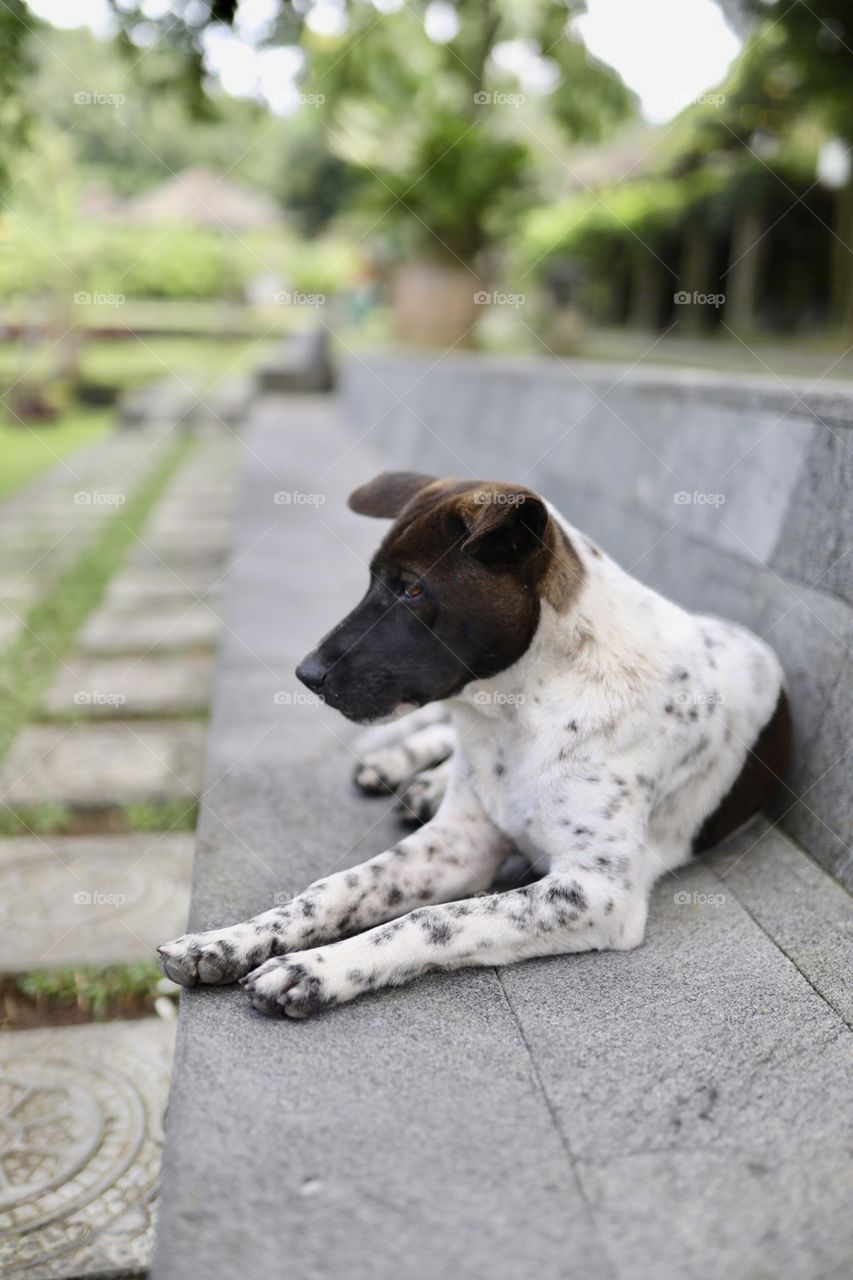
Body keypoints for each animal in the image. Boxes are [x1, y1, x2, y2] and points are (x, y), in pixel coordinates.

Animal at [156, 471, 788, 1018]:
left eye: (413, 589)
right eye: (371, 581)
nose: (306, 675)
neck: (520, 712)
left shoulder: (596, 892)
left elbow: (431, 919)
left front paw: (314, 970)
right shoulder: (459, 842)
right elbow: (335, 888)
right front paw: (227, 941)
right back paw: (401, 766)